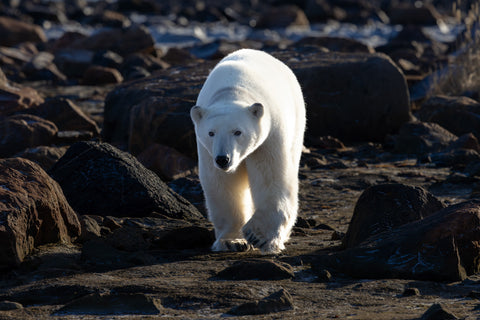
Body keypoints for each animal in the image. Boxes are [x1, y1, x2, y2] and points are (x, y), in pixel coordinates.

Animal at [189, 48, 306, 254]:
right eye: (211, 132)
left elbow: (271, 177)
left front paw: (260, 237)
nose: (223, 159)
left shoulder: (269, 136)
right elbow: (222, 184)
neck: (232, 90)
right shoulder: (206, 150)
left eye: (238, 132)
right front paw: (231, 241)